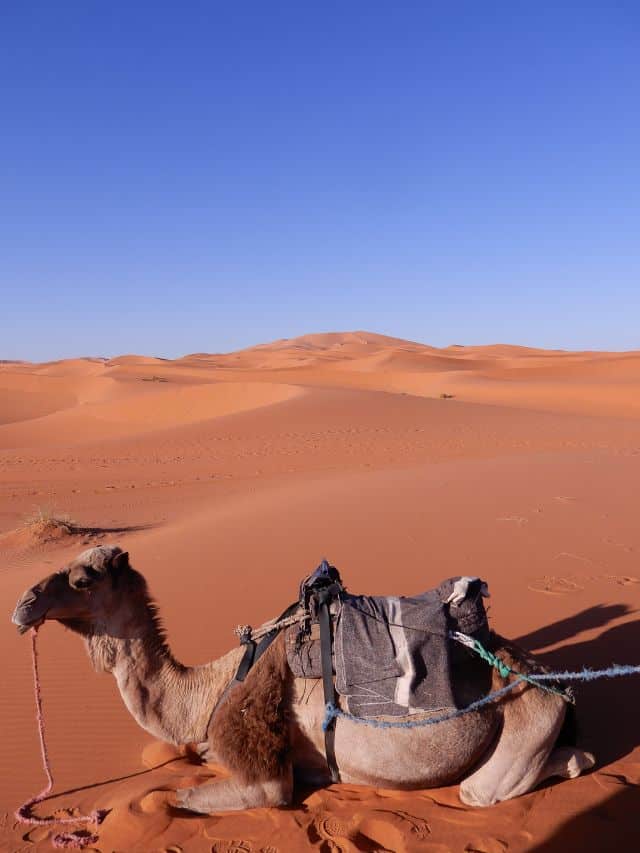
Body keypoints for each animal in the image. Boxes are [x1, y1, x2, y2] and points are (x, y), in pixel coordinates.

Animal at [12, 545, 595, 814]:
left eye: (82, 579)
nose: (23, 604)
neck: (207, 690)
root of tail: (553, 679)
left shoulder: (261, 773)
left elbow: (171, 799)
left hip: (525, 720)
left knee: (497, 785)